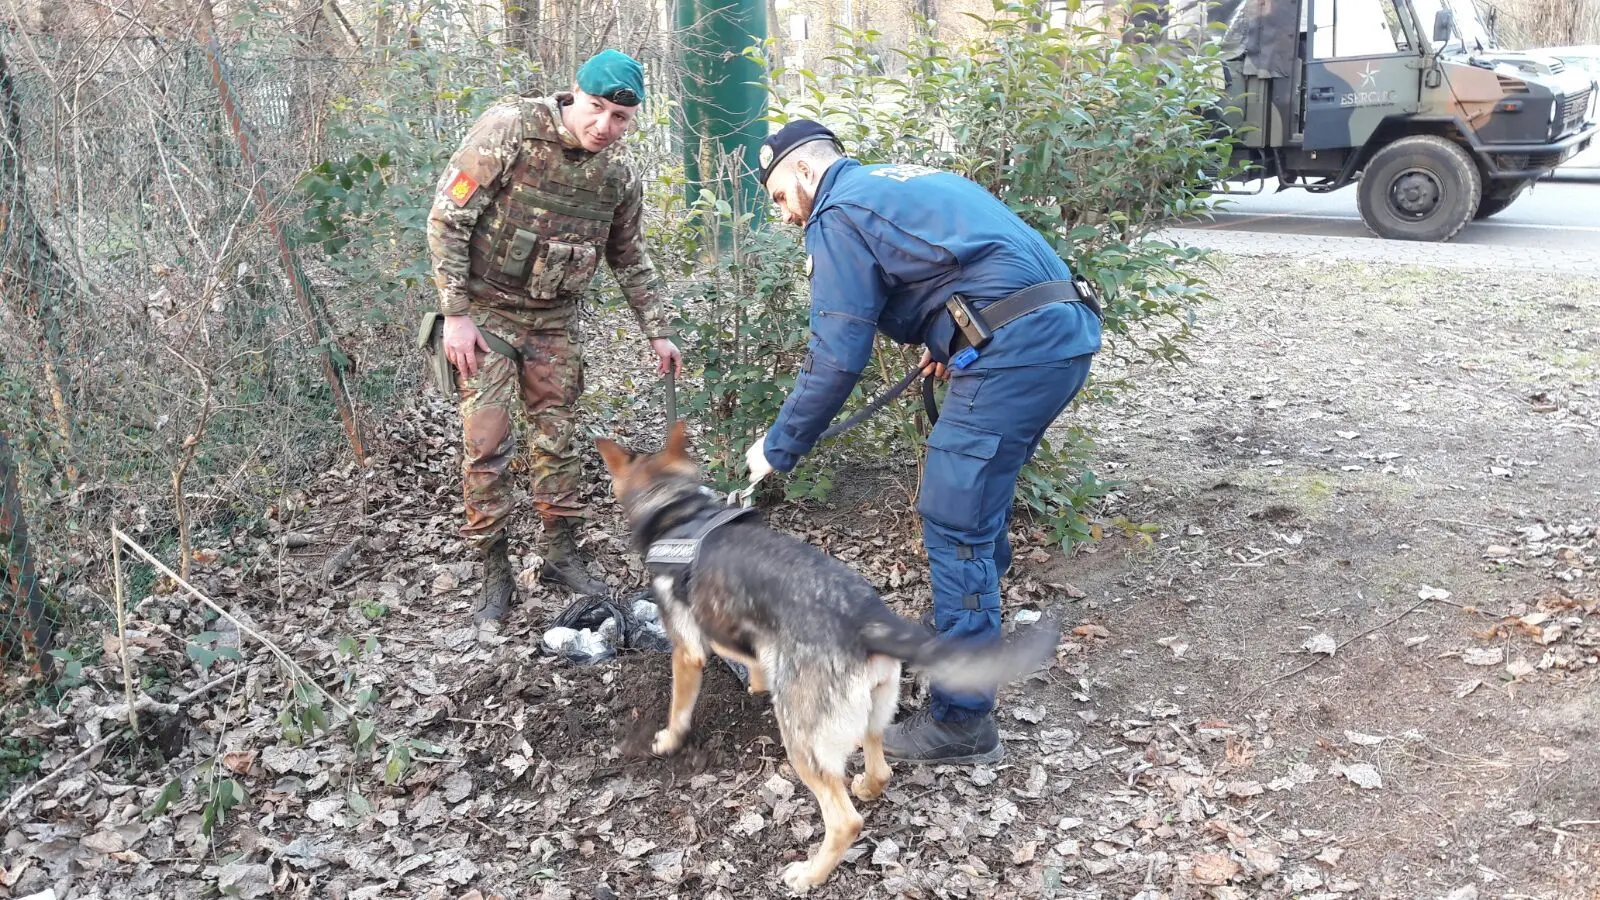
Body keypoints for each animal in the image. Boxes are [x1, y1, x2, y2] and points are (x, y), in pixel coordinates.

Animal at [595, 422, 1056, 890]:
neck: (679, 508)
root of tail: (867, 618)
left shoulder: (687, 651)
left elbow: (679, 707)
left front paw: (668, 739)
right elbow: (752, 657)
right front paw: (757, 679)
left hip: (803, 742)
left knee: (844, 821)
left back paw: (810, 874)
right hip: (873, 712)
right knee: (881, 768)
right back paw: (867, 786)